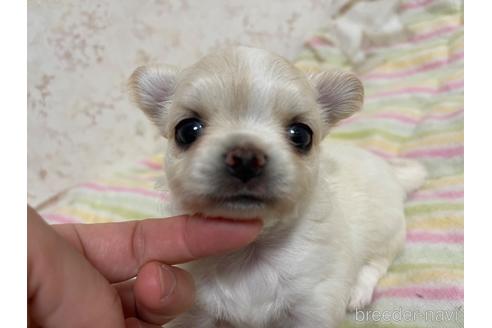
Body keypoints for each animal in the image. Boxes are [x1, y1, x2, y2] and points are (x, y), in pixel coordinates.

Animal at [129, 46, 424, 328]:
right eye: (187, 130)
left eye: (301, 135)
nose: (245, 158)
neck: (251, 251)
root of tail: (393, 173)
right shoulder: (194, 310)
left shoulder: (312, 307)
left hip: (386, 230)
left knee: (378, 262)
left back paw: (358, 291)